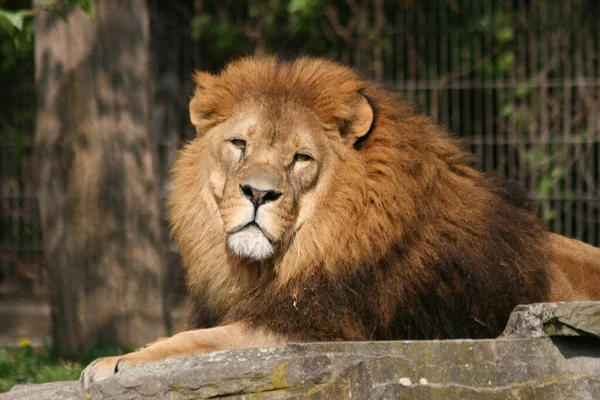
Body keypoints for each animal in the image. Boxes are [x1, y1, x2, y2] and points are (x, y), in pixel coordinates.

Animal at [79, 55, 600, 384]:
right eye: (239, 144)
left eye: (301, 158)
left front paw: (113, 361)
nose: (258, 193)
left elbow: (199, 342)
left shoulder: (315, 328)